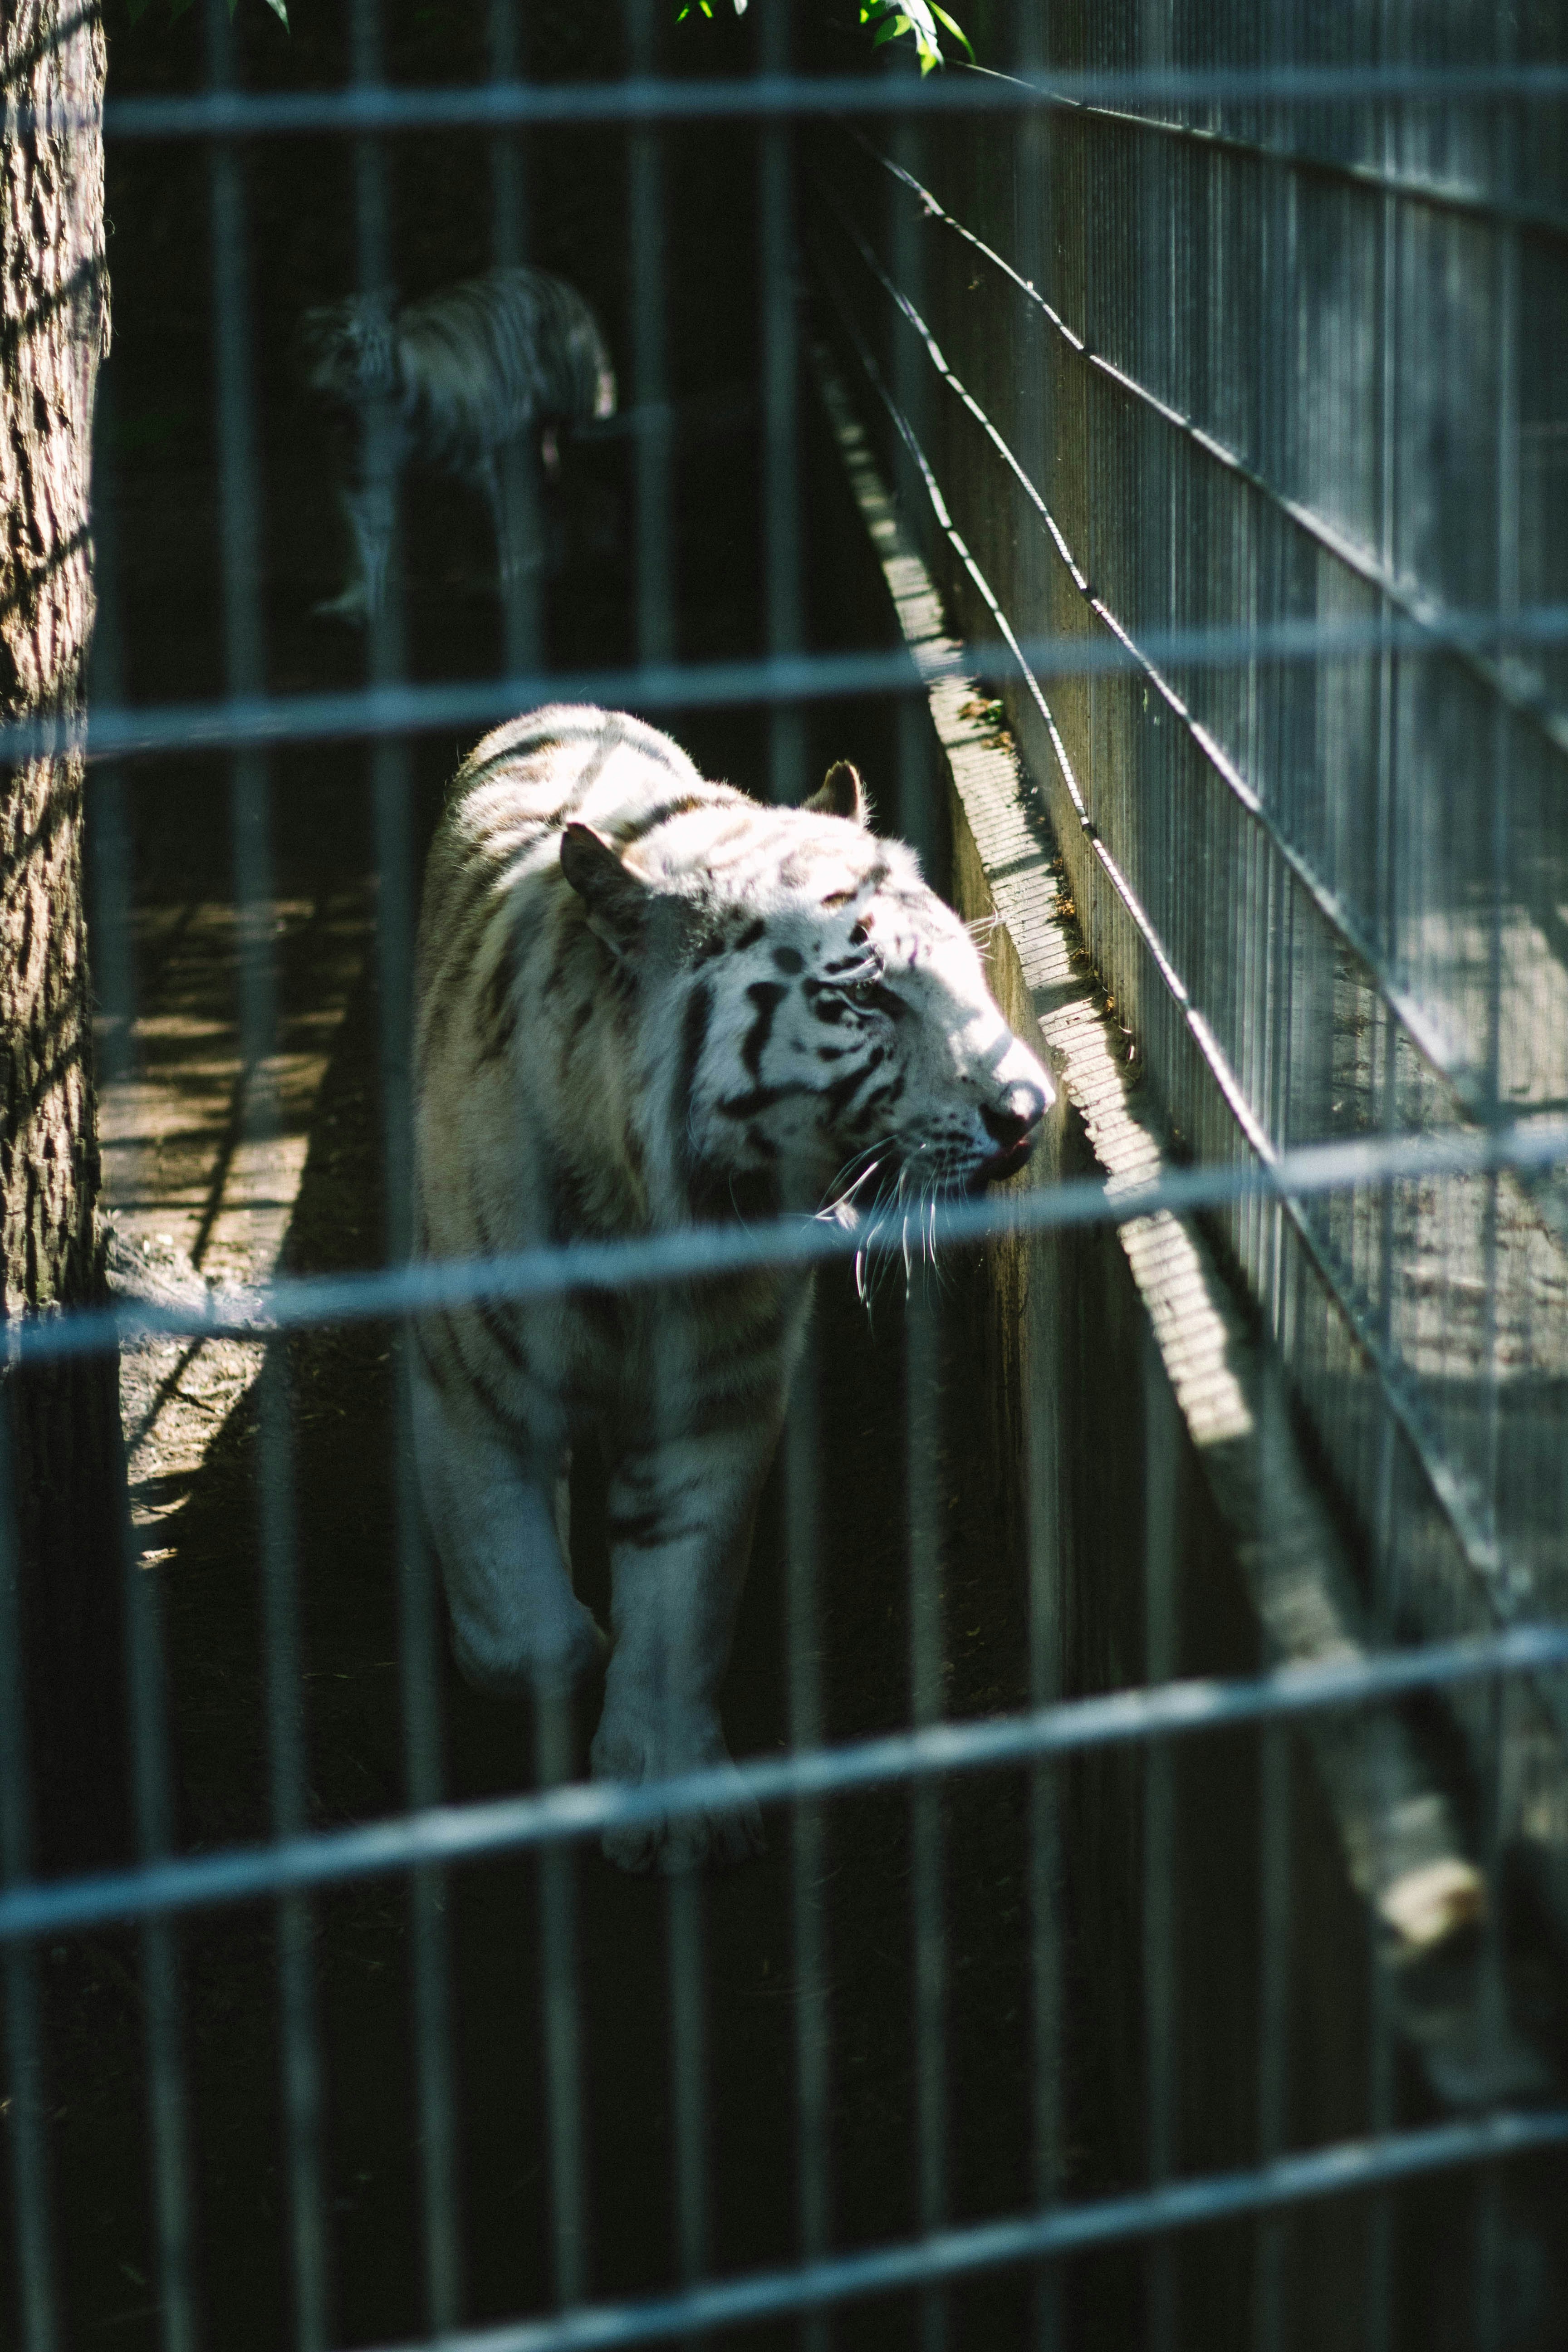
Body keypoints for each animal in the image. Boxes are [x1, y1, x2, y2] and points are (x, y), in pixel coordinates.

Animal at [297, 264, 617, 622]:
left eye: (347, 354)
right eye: (309, 351)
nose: (318, 395)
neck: (376, 416)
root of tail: (561, 283)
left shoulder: (482, 461)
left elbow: (497, 521)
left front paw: (501, 581)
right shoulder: (359, 474)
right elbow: (362, 536)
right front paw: (356, 601)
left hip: (570, 425)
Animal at [411, 705, 1053, 1872]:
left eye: (964, 971)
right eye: (865, 993)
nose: (1032, 1111)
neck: (647, 1219)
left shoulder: (714, 1401)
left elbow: (680, 1608)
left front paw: (669, 1796)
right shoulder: (473, 1387)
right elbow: (525, 1634)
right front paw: (570, 1659)